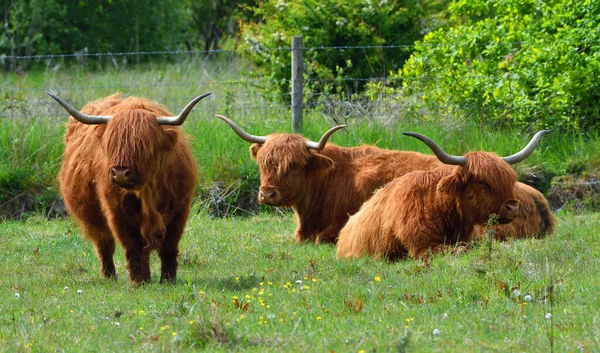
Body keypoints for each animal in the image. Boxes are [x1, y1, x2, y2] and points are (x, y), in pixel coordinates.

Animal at [48, 91, 211, 284]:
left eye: (143, 145)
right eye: (112, 143)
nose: (120, 172)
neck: (148, 192)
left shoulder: (180, 209)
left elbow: (169, 246)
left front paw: (168, 279)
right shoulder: (117, 213)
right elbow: (133, 246)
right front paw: (139, 280)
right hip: (93, 219)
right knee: (104, 245)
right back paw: (110, 276)